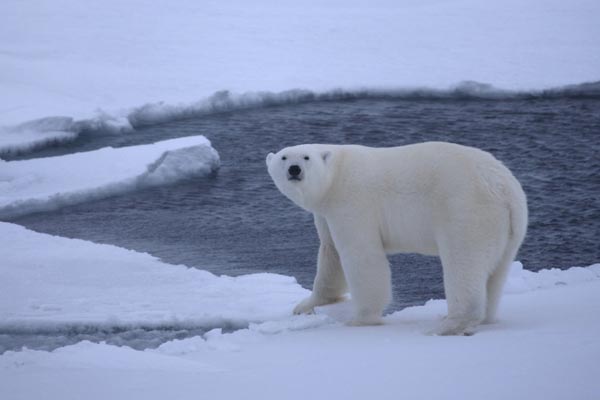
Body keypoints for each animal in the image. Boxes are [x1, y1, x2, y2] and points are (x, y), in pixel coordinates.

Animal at [264, 142, 528, 336]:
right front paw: (306, 306)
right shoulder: (326, 213)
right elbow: (331, 253)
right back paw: (481, 318)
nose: (294, 169)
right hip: (508, 228)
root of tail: (505, 187)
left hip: (466, 209)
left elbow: (361, 254)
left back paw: (448, 324)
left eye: (306, 157)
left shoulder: (352, 200)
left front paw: (360, 319)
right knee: (496, 273)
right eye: (284, 158)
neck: (336, 175)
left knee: (464, 263)